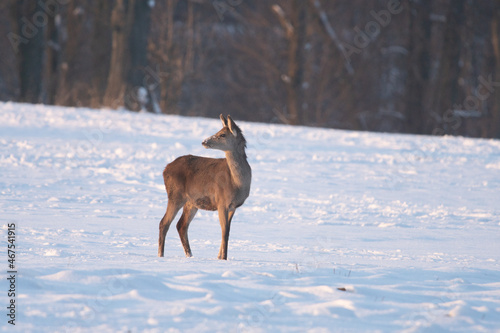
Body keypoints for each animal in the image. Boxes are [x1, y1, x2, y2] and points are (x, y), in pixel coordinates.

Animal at [158, 114, 252, 260]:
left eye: (222, 134)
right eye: (218, 132)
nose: (204, 141)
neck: (237, 183)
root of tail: (165, 169)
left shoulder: (233, 206)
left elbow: (227, 232)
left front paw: (219, 257)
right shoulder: (221, 202)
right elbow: (224, 232)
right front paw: (223, 258)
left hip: (191, 202)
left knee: (181, 225)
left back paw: (190, 255)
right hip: (175, 195)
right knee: (164, 223)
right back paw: (161, 256)